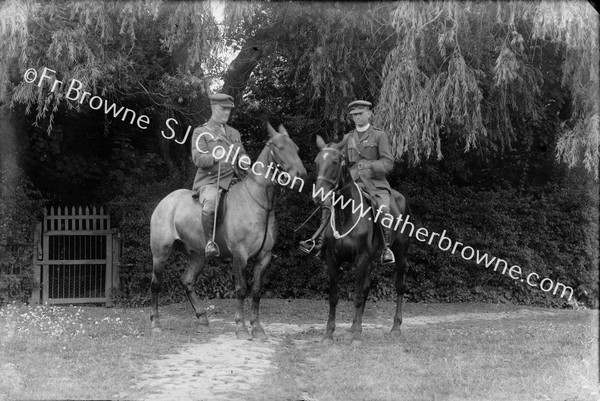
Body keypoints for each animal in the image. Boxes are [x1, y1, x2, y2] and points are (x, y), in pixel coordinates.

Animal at [150, 124, 308, 338]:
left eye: (297, 149)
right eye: (280, 147)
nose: (301, 176)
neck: (257, 203)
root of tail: (165, 201)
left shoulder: (264, 257)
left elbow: (256, 291)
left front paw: (257, 327)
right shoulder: (239, 255)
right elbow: (241, 289)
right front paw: (241, 327)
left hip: (198, 255)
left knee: (187, 281)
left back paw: (202, 319)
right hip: (161, 253)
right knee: (156, 284)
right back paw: (156, 324)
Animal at [314, 135, 408, 344]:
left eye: (334, 162)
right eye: (316, 162)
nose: (319, 195)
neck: (345, 213)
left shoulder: (361, 259)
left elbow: (356, 296)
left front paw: (357, 336)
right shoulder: (332, 260)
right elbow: (334, 297)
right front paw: (329, 333)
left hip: (400, 253)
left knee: (399, 286)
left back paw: (396, 327)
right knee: (366, 287)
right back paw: (354, 326)